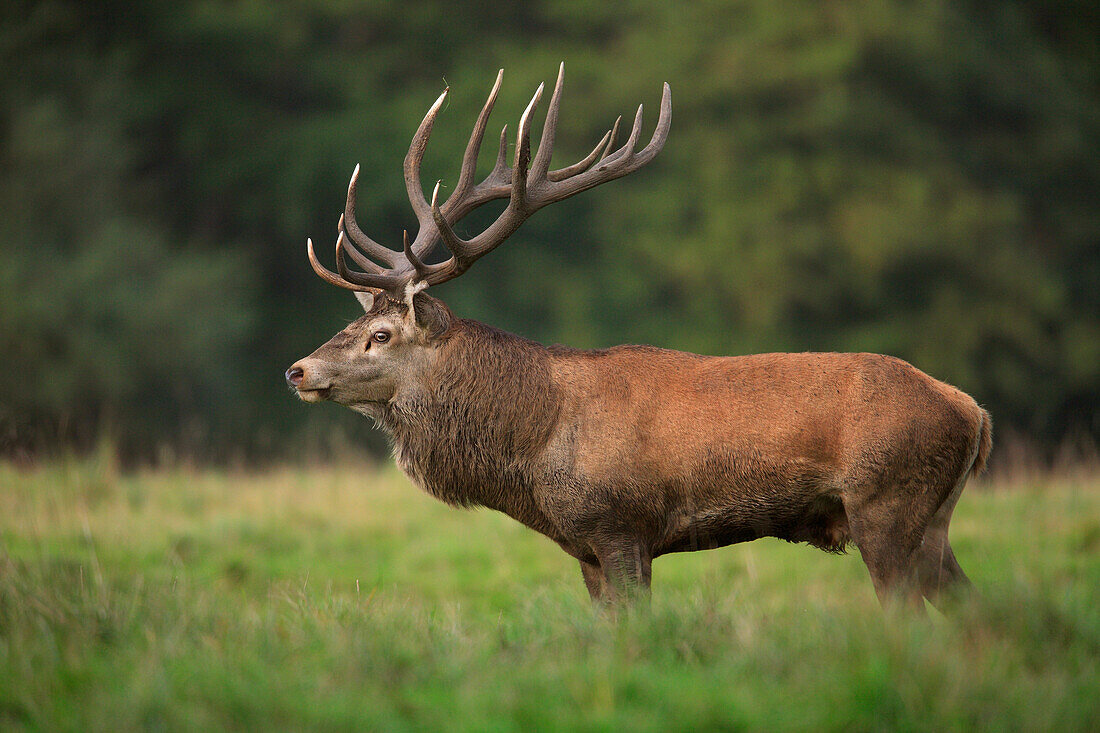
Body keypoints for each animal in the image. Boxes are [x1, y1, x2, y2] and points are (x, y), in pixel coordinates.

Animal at [288, 64, 994, 611]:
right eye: (352, 325)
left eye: (381, 334)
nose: (297, 369)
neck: (536, 447)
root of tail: (973, 413)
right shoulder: (585, 548)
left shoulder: (621, 525)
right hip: (933, 520)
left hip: (886, 504)